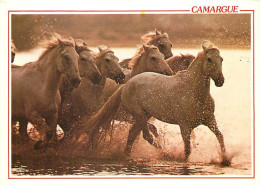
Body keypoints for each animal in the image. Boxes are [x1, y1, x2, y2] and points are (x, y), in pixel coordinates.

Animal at [86, 44, 230, 165]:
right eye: (209, 59)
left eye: (221, 59)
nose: (220, 81)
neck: (193, 92)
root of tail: (127, 84)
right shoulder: (184, 126)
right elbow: (188, 149)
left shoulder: (210, 120)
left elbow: (220, 136)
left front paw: (226, 160)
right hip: (139, 115)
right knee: (146, 136)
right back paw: (163, 154)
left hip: (143, 116)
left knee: (133, 135)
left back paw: (127, 156)